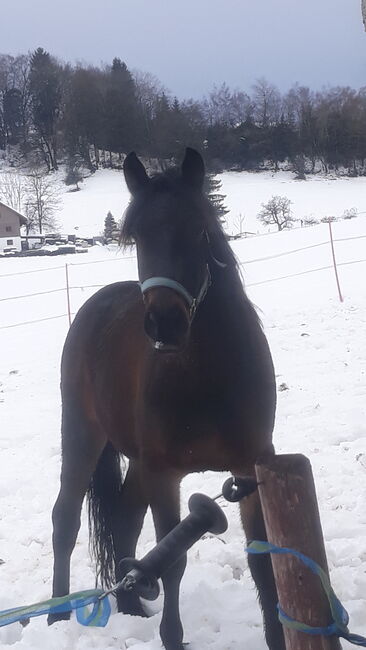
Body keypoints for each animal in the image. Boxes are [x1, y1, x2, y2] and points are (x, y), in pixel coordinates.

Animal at [48, 148, 284, 648]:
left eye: (199, 230)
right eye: (137, 236)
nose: (164, 325)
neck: (206, 375)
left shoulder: (250, 467)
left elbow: (262, 560)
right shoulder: (165, 473)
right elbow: (172, 561)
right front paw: (172, 637)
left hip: (136, 459)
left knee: (123, 519)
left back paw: (131, 606)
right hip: (82, 432)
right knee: (66, 519)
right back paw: (56, 616)